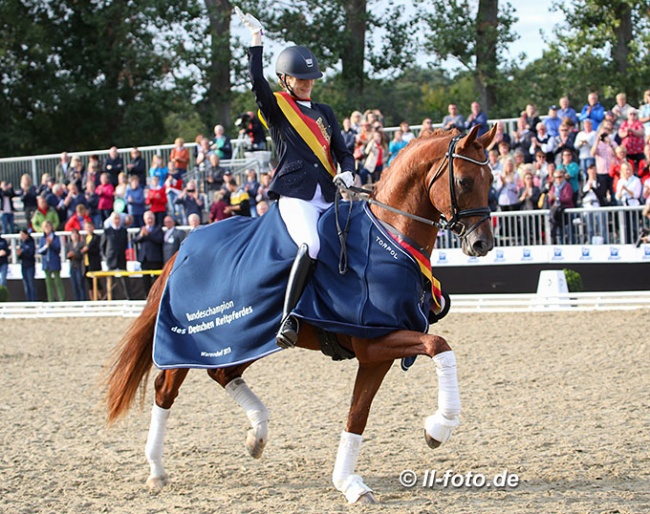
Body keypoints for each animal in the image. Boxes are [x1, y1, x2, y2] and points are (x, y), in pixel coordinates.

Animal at [104, 125, 494, 504]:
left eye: (491, 179)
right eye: (464, 181)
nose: (482, 244)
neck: (389, 236)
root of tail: (183, 248)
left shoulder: (375, 353)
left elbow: (358, 414)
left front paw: (348, 482)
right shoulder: (375, 341)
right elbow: (438, 346)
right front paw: (439, 427)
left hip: (245, 339)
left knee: (223, 373)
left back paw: (257, 434)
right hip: (191, 343)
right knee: (165, 390)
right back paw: (156, 470)